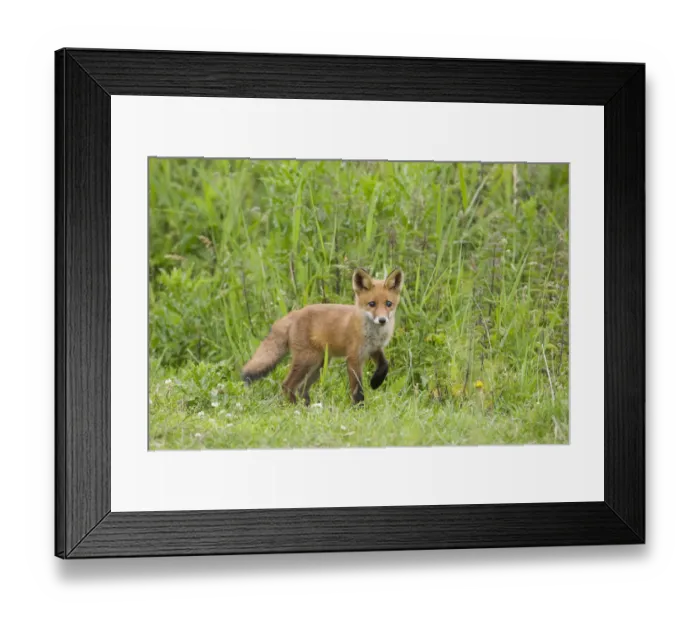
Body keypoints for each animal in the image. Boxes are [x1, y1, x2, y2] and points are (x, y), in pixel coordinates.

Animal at [241, 267, 404, 405]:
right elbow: (358, 389)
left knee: (301, 389)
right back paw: (295, 408)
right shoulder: (353, 357)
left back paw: (307, 408)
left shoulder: (374, 349)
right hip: (308, 360)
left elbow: (385, 364)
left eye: (388, 303)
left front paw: (376, 382)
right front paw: (359, 407)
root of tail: (295, 313)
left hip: (318, 364)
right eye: (372, 304)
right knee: (287, 385)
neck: (373, 333)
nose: (382, 320)